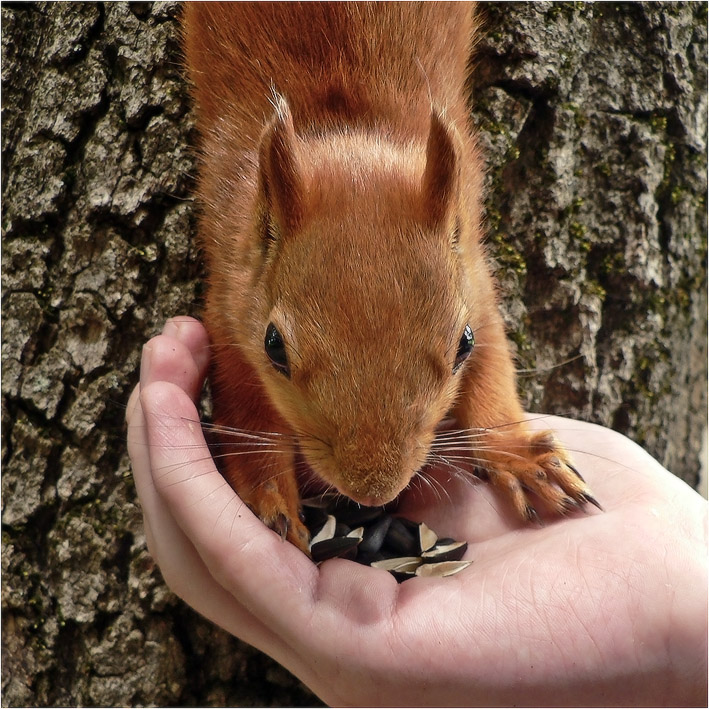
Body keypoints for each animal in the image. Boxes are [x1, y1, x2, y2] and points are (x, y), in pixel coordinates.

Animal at [180, 2, 596, 552]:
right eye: (274, 347)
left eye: (462, 343)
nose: (373, 492)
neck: (351, 132)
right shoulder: (229, 297)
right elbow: (245, 405)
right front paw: (269, 499)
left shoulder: (475, 276)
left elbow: (493, 370)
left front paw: (520, 456)